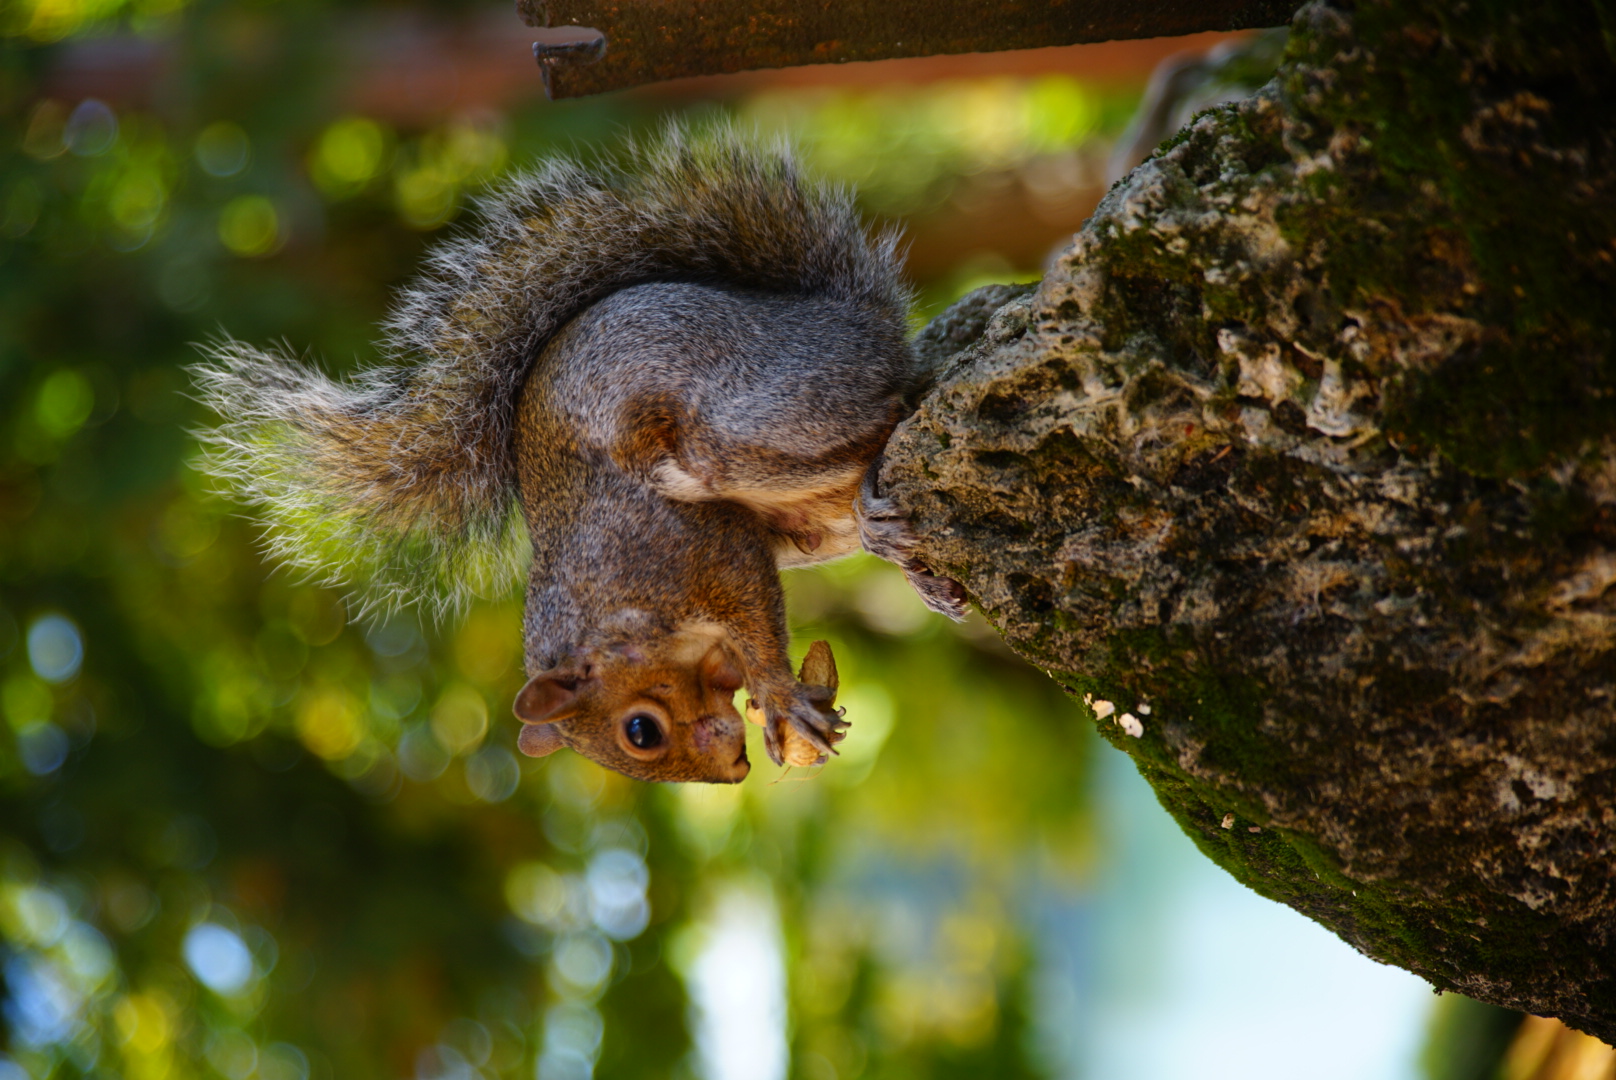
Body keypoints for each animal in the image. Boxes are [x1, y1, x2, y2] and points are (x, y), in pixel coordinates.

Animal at [193, 123, 967, 784]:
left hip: (757, 413)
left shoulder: (699, 556)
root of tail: (850, 319)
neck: (610, 611)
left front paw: (778, 696)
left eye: (640, 730)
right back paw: (904, 553)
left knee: (886, 411)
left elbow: (753, 610)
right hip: (799, 513)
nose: (734, 771)